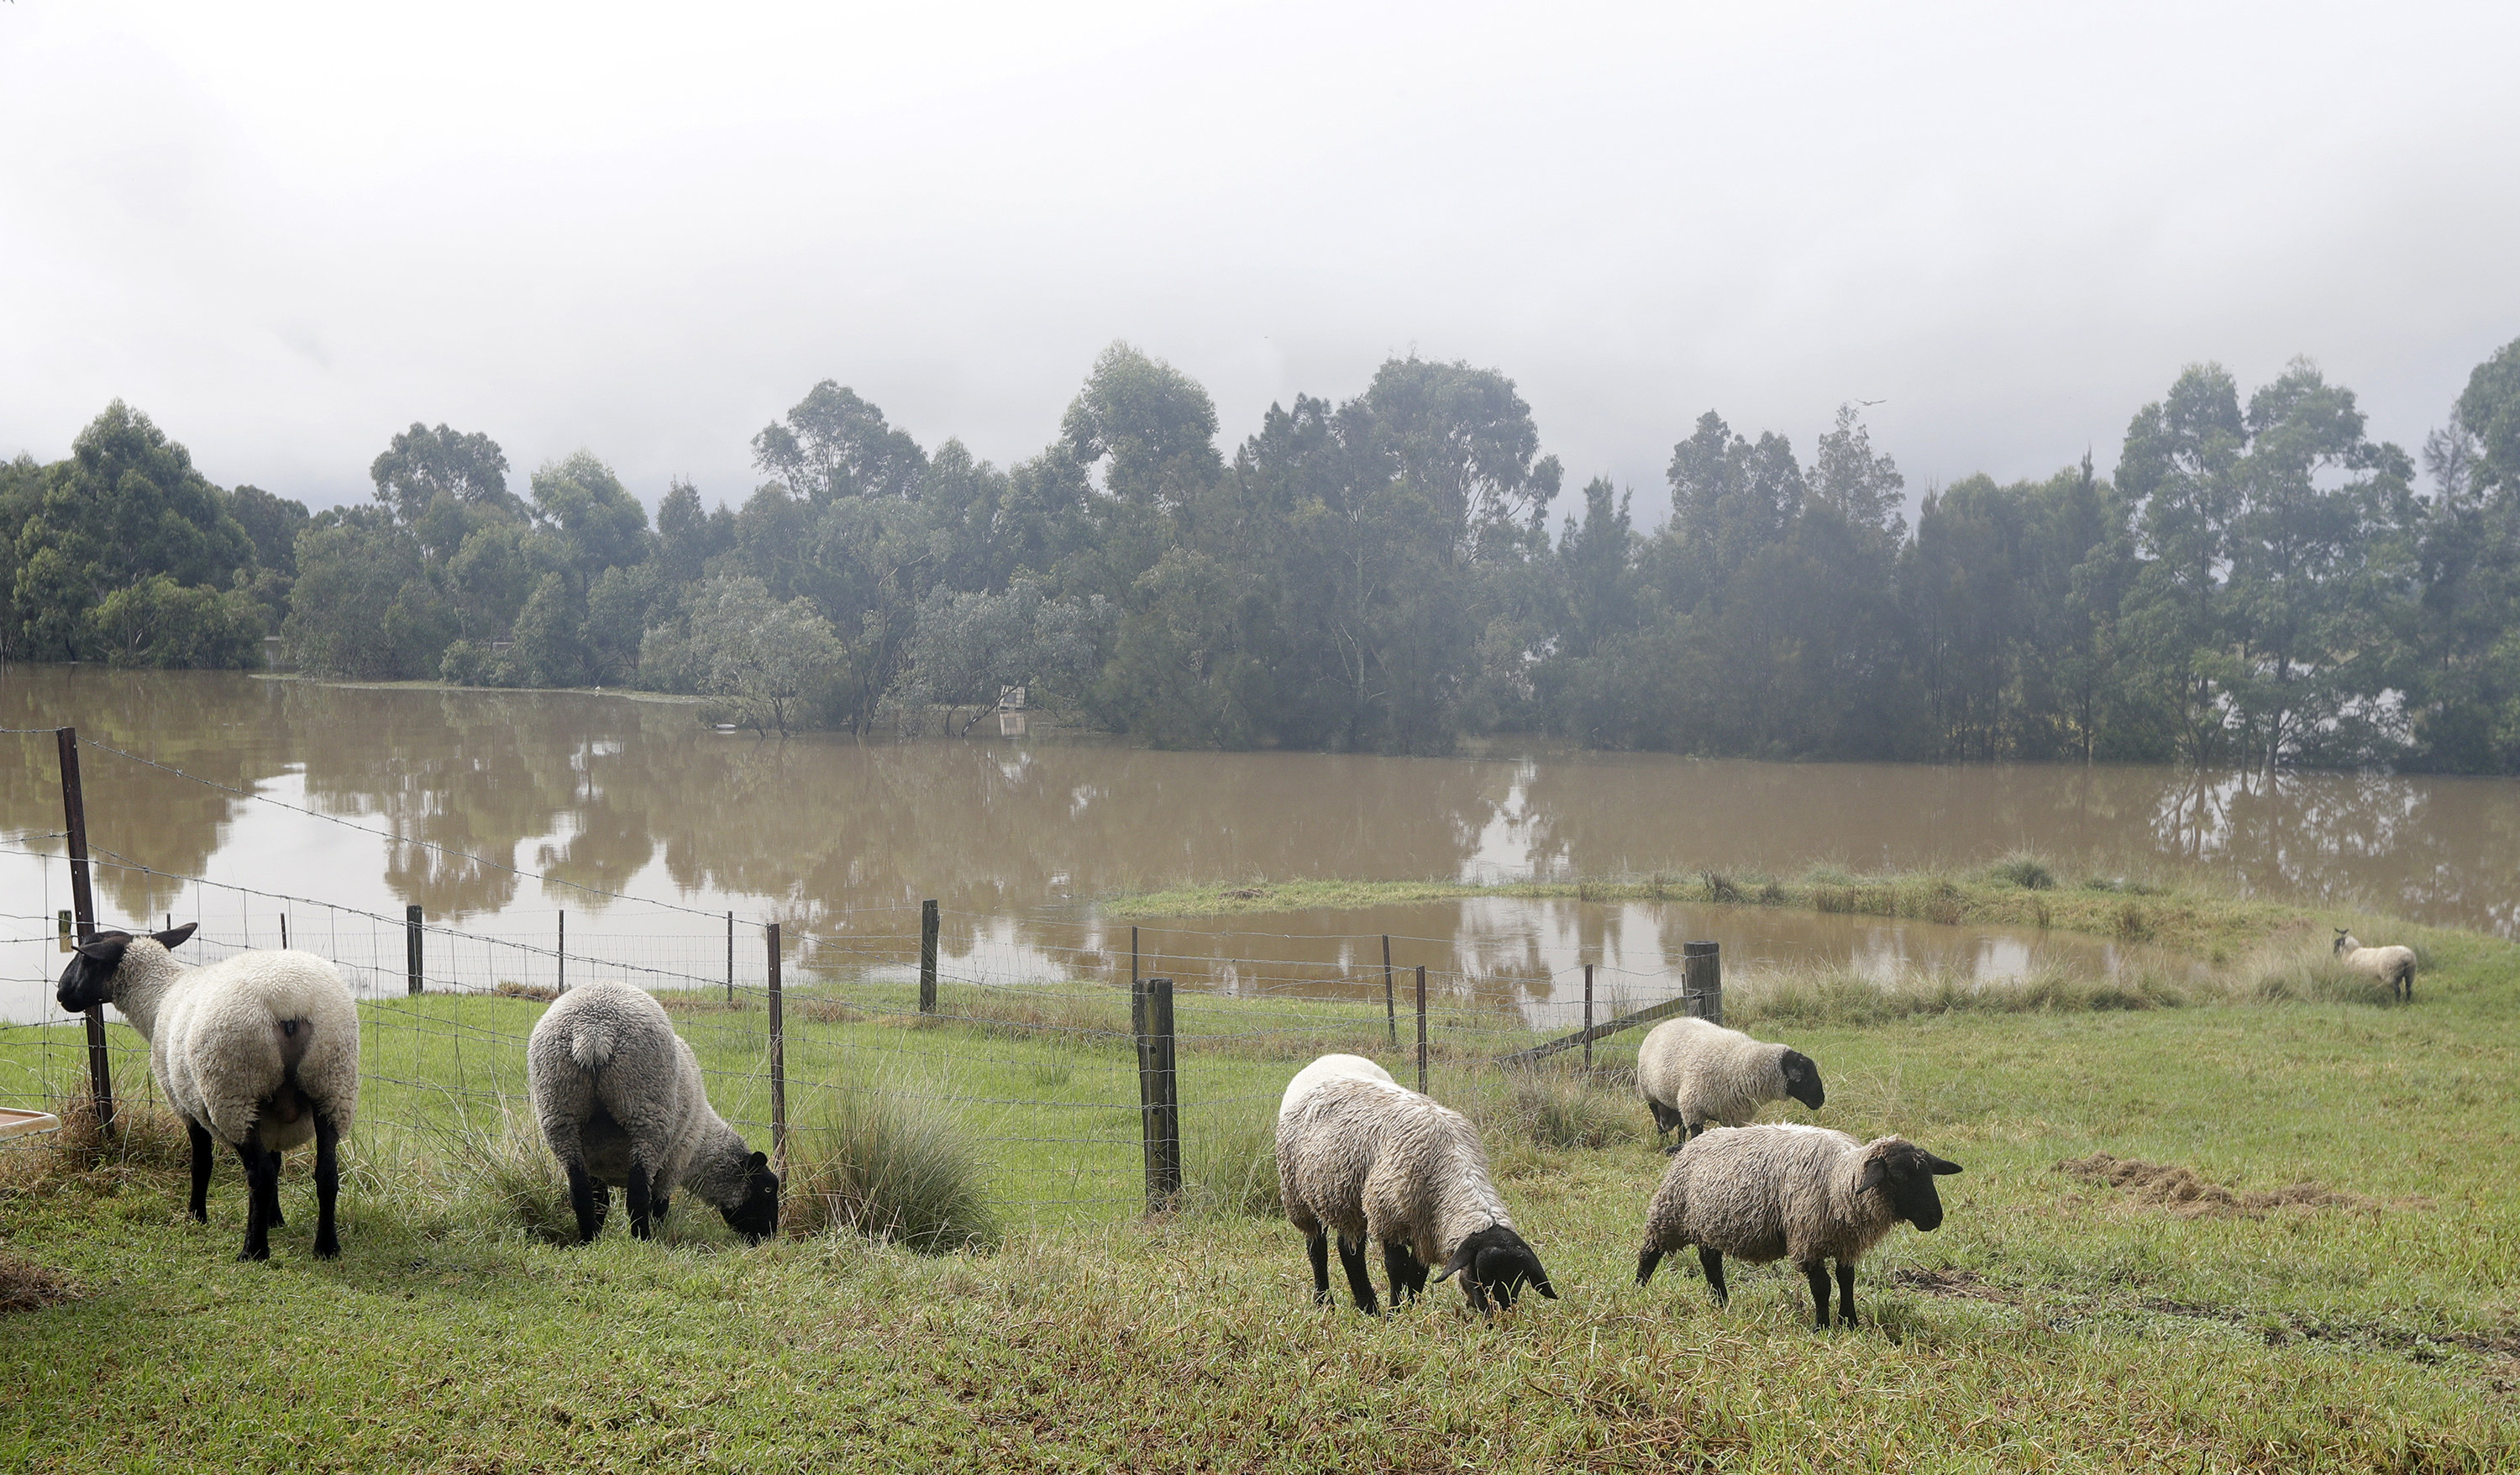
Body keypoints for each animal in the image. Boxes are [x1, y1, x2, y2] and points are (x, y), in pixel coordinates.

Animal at [54, 917, 358, 1255]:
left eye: (83, 957)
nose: (61, 993)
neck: (158, 998)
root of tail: (289, 1005)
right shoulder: (268, 1116)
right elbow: (277, 1161)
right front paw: (275, 1219)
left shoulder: (185, 1105)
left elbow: (202, 1163)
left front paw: (196, 1215)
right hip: (331, 1085)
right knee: (326, 1173)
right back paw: (326, 1247)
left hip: (233, 1091)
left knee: (260, 1173)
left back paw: (253, 1251)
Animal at [524, 978, 776, 1240]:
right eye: (768, 1188)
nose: (768, 1235)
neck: (702, 1143)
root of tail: (594, 1030)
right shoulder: (675, 1159)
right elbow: (660, 1203)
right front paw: (661, 1233)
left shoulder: (594, 1160)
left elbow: (601, 1201)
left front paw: (597, 1236)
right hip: (646, 1110)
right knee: (638, 1193)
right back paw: (642, 1238)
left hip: (560, 1110)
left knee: (580, 1191)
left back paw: (587, 1239)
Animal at [1280, 1053, 1552, 1320]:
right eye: (1480, 1275)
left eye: (1519, 1281)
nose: (1498, 1318)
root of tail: (1329, 1057)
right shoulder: (1391, 1217)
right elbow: (1397, 1267)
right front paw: (1394, 1315)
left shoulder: (1428, 1228)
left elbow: (1418, 1273)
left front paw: (1408, 1308)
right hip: (1297, 1194)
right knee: (1317, 1249)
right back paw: (1325, 1303)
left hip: (1347, 1197)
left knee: (1349, 1251)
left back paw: (1367, 1306)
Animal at [1633, 1013, 1835, 1149]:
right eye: (1804, 1077)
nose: (1820, 1100)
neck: (1741, 1064)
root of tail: (1666, 1022)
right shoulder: (1694, 1109)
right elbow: (1696, 1134)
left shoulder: (1734, 1117)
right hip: (1650, 1092)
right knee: (1657, 1118)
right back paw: (1663, 1140)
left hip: (1677, 1100)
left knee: (1680, 1125)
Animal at [1633, 1119, 1966, 1331]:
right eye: (1897, 1176)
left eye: (1928, 1174)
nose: (1934, 1218)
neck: (1839, 1179)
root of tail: (1690, 1143)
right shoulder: (1808, 1239)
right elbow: (1822, 1286)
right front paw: (1823, 1327)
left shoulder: (1844, 1241)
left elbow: (1847, 1280)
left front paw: (1850, 1322)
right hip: (1671, 1211)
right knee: (1650, 1251)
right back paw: (1638, 1289)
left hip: (1709, 1220)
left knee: (1709, 1259)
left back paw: (1721, 1301)